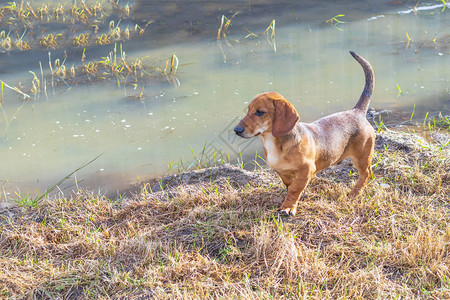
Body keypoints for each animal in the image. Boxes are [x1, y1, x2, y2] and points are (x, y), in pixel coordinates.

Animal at [234, 51, 374, 216]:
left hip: (361, 157)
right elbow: (290, 185)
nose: (236, 130)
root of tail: (357, 111)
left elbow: (295, 189)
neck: (274, 143)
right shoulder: (283, 172)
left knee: (366, 173)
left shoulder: (307, 169)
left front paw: (288, 207)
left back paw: (354, 193)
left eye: (260, 112)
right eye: (248, 110)